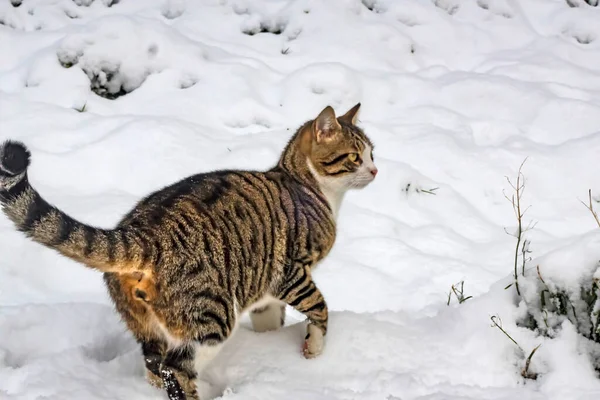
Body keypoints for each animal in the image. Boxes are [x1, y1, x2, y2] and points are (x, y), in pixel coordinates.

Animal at [0, 104, 376, 400]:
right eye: (355, 156)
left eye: (373, 152)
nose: (375, 169)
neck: (307, 185)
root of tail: (141, 234)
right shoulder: (290, 271)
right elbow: (320, 307)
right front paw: (314, 348)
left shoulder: (264, 288)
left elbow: (269, 319)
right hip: (212, 313)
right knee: (176, 369)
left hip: (145, 320)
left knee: (154, 363)